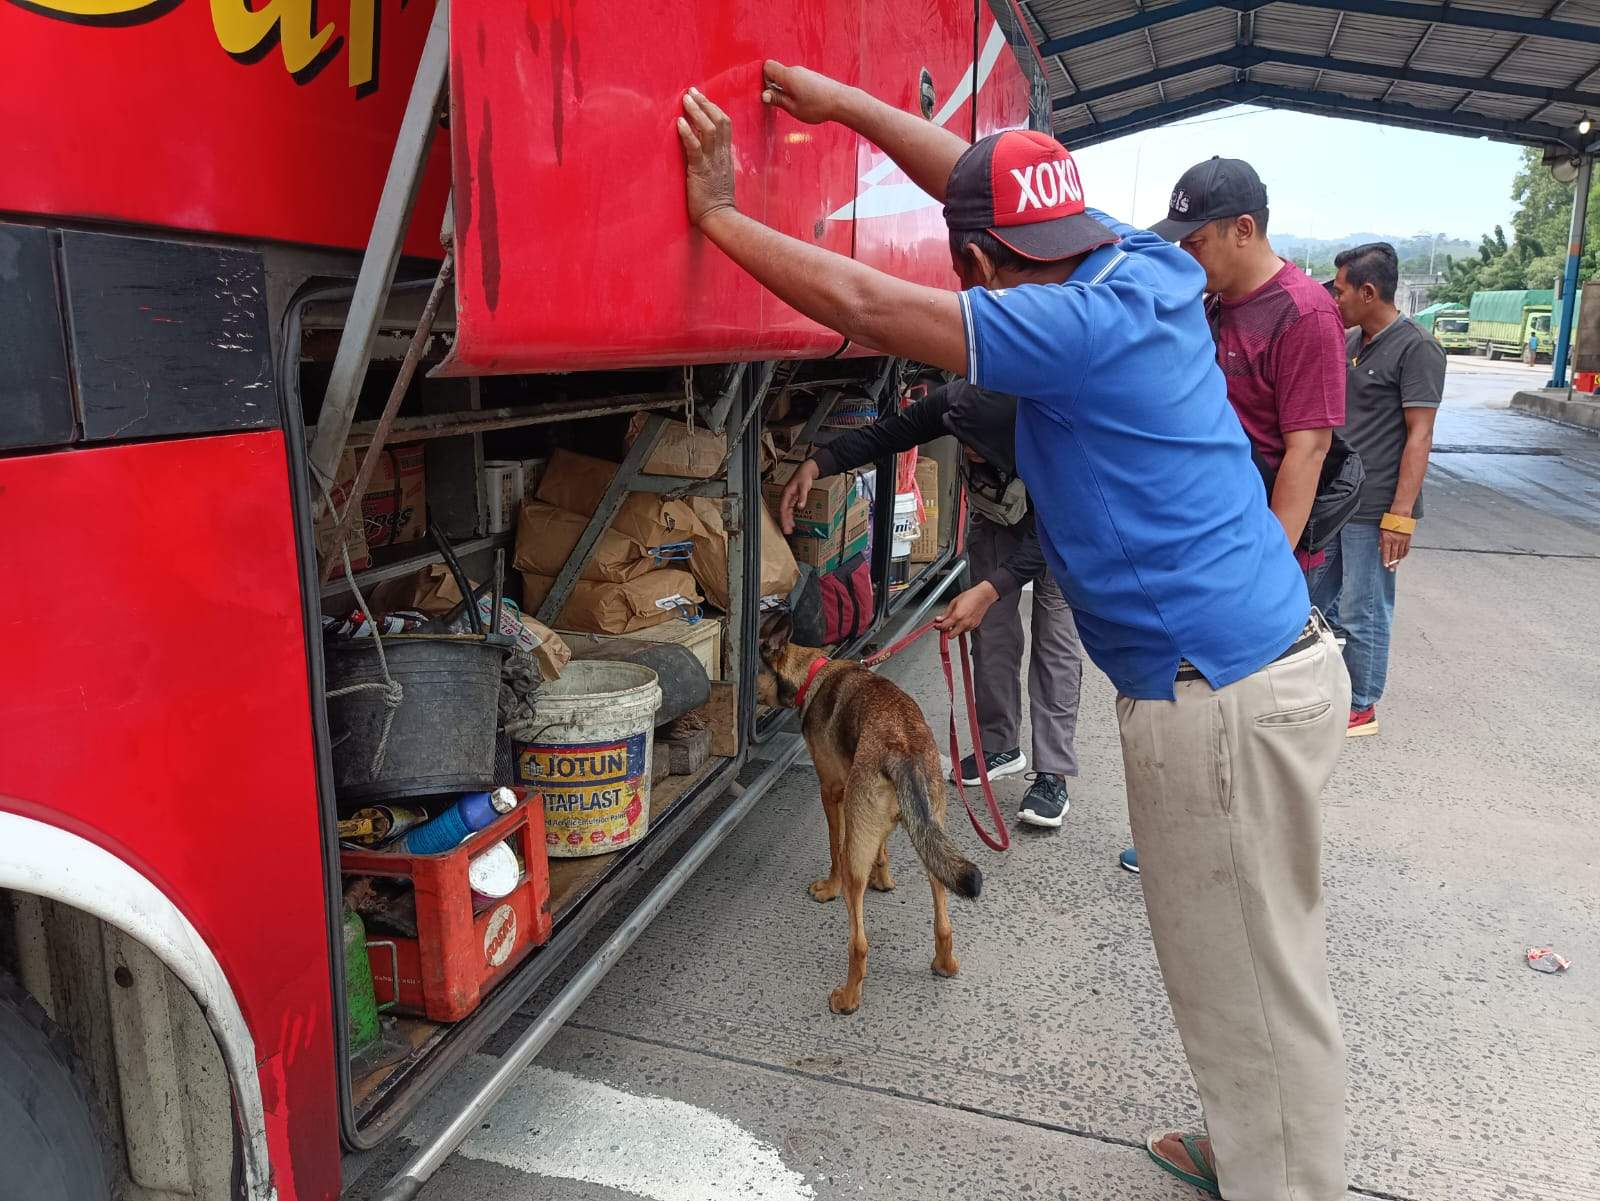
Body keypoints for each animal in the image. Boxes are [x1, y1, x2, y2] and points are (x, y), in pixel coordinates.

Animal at [755, 610, 979, 1017]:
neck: (812, 672)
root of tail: (903, 752)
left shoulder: (833, 792)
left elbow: (833, 846)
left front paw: (828, 888)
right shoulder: (871, 819)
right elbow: (883, 850)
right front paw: (884, 879)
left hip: (858, 855)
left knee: (859, 941)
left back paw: (847, 998)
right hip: (933, 844)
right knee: (943, 919)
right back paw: (945, 964)